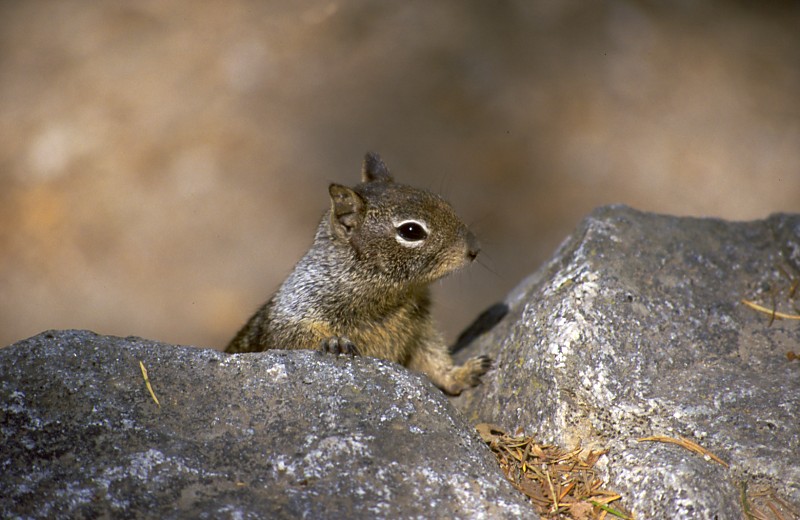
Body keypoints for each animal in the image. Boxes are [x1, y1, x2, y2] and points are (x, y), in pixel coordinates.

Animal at [222, 152, 490, 396]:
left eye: (444, 202)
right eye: (411, 231)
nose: (474, 249)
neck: (390, 297)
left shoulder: (422, 331)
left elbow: (435, 360)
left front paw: (464, 372)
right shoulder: (294, 314)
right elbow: (291, 339)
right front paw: (335, 343)